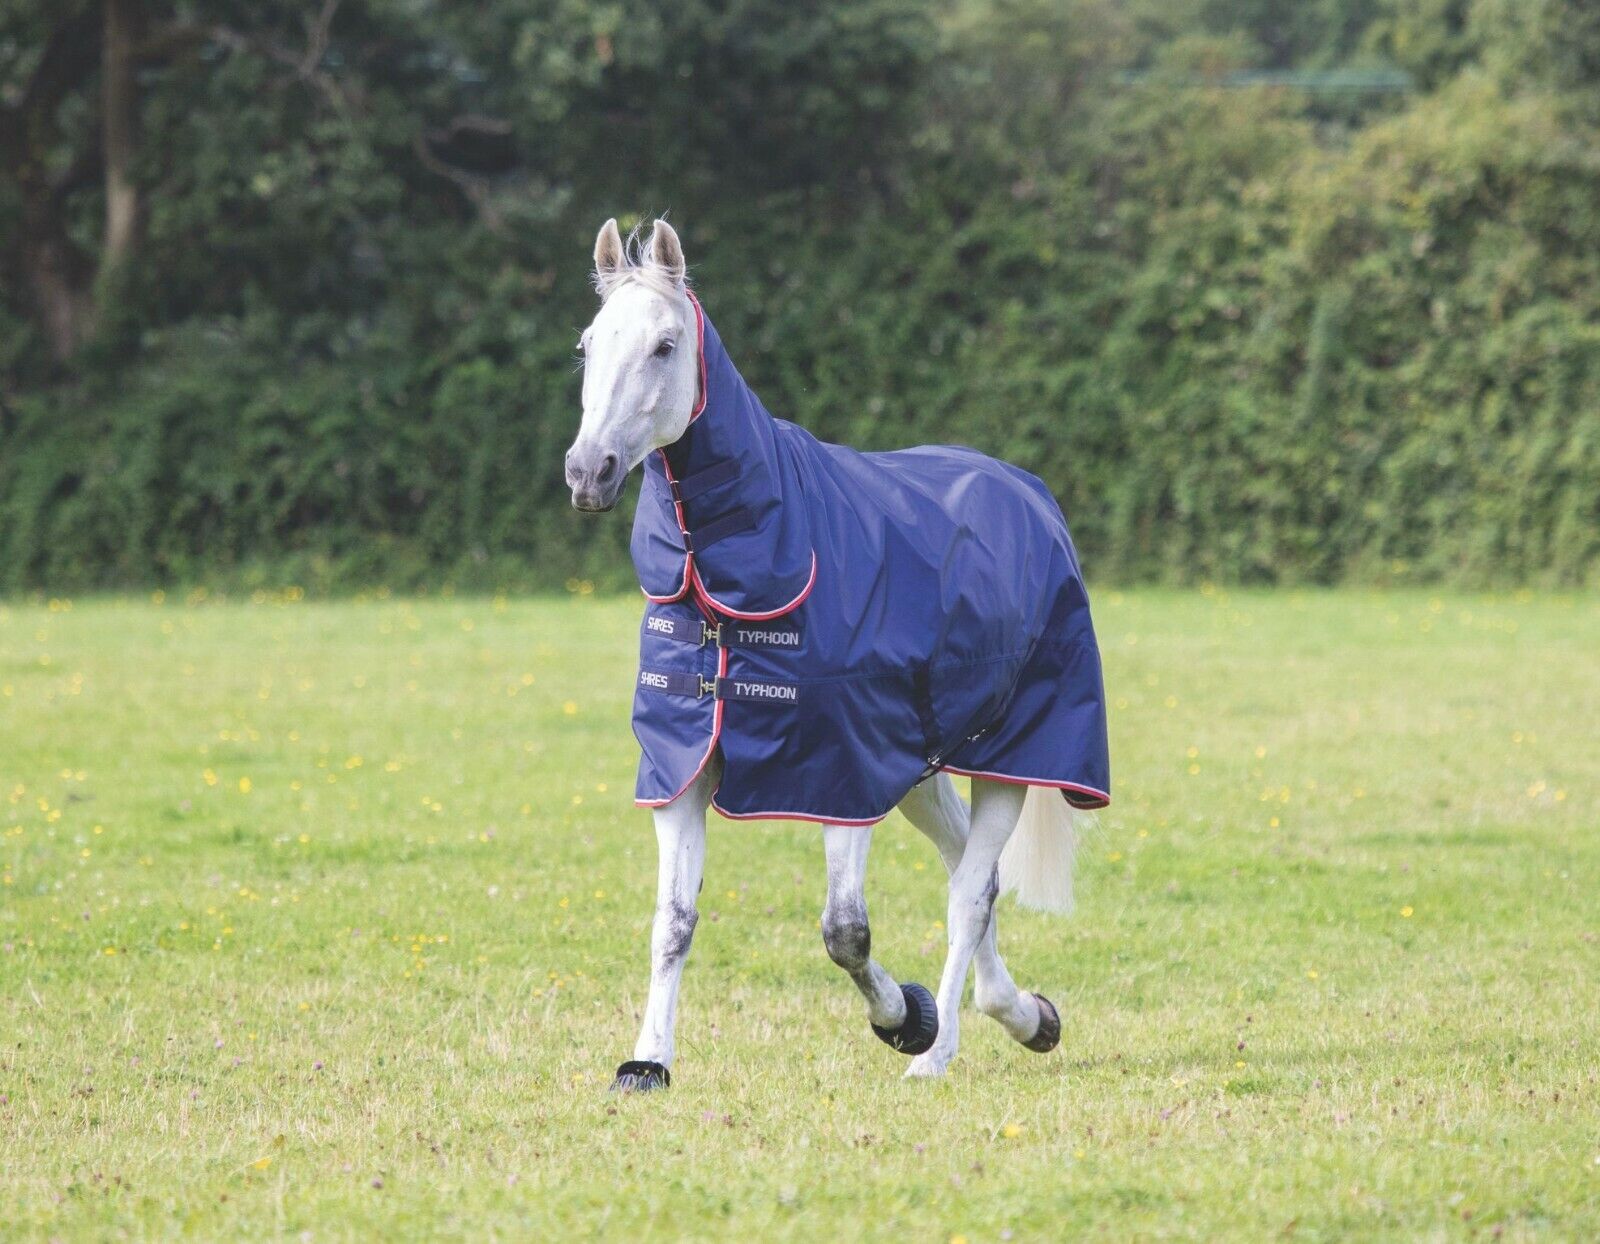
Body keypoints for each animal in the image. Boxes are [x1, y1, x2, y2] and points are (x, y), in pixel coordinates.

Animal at [565, 218, 1110, 1087]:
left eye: (664, 345)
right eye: (588, 345)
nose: (589, 473)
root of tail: (1028, 495)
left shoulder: (840, 774)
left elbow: (844, 931)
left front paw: (906, 1021)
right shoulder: (683, 767)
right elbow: (674, 921)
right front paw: (647, 1062)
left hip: (1012, 759)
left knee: (971, 891)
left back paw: (940, 1051)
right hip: (921, 767)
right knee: (969, 868)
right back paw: (1025, 1016)